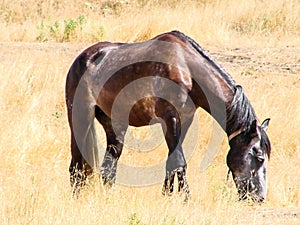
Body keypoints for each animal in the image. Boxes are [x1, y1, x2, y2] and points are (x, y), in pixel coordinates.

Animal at [66, 30, 272, 202]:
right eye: (260, 157)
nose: (259, 197)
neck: (186, 68)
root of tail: (83, 58)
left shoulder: (185, 119)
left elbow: (172, 160)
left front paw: (166, 195)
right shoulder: (169, 118)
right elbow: (179, 161)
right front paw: (186, 198)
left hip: (114, 123)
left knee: (109, 164)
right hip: (80, 116)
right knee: (76, 163)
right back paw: (76, 197)